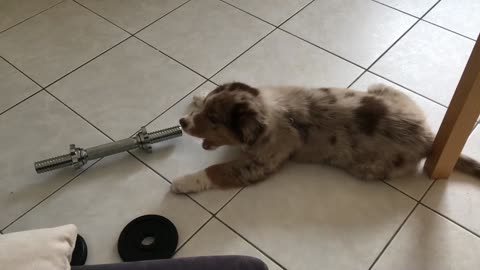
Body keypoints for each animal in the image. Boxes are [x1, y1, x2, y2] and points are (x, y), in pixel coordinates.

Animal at [172, 83, 480, 194]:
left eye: (214, 121)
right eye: (205, 111)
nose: (182, 122)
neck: (269, 111)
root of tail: (428, 138)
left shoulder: (260, 163)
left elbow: (217, 169)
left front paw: (185, 182)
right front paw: (198, 96)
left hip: (368, 168)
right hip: (381, 88)